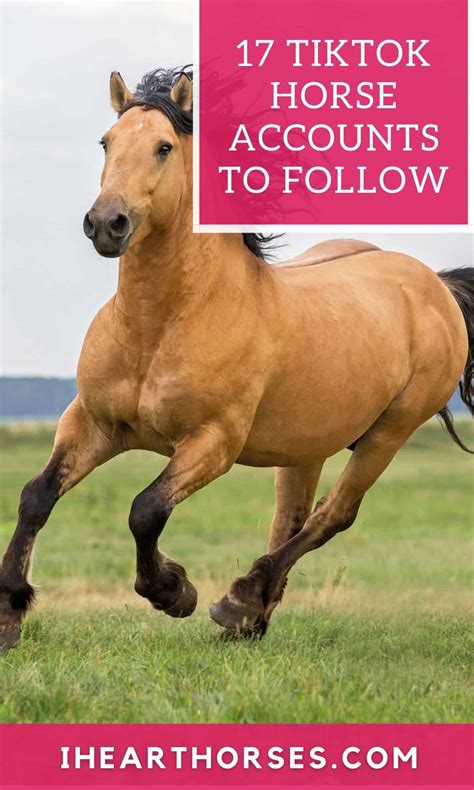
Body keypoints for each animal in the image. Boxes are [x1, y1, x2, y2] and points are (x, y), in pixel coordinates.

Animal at [1, 67, 472, 653]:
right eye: (106, 142)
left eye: (163, 147)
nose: (107, 223)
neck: (162, 324)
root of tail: (436, 286)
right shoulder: (92, 423)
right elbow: (35, 496)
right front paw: (9, 615)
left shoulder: (213, 442)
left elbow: (145, 510)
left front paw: (174, 591)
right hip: (306, 445)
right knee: (290, 519)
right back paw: (251, 619)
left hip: (390, 432)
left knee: (333, 515)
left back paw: (238, 601)